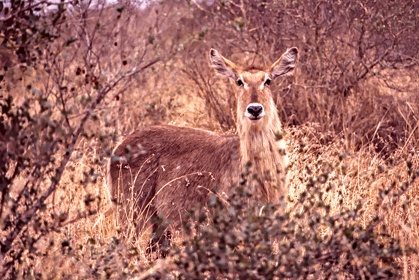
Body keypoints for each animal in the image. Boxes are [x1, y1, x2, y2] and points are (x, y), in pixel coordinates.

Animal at [108, 47, 298, 255]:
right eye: (239, 81)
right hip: (131, 211)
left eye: (268, 80)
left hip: (159, 224)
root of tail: (118, 148)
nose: (255, 109)